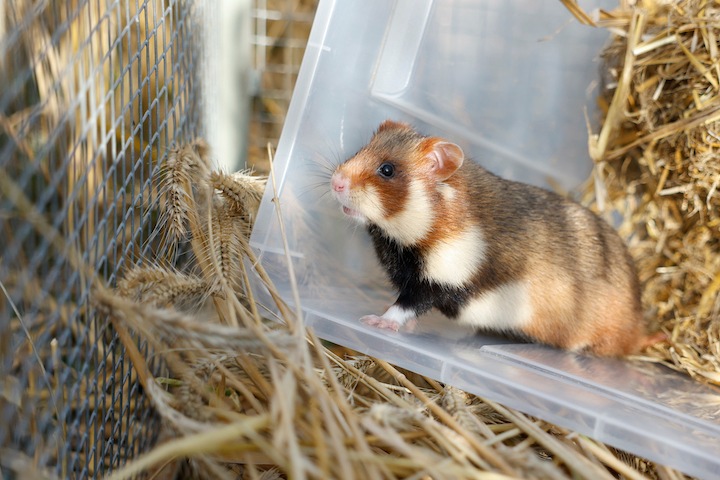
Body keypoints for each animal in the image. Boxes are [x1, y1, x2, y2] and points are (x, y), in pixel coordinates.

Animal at [330, 121, 664, 356]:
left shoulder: (438, 282)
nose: (335, 182)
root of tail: (639, 325)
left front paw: (374, 321)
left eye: (387, 170)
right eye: (360, 149)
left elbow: (404, 306)